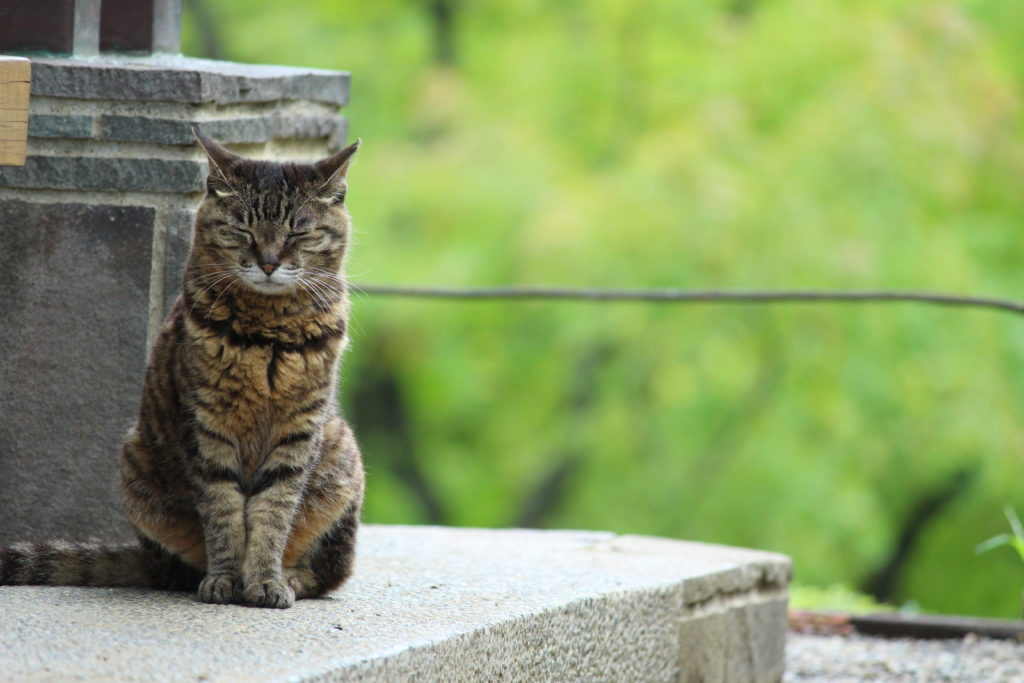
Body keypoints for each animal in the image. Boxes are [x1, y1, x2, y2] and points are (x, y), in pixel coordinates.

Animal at [0, 132, 366, 610]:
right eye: (242, 229)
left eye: (298, 231)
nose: (268, 262)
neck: (268, 335)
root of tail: (148, 560)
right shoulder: (207, 429)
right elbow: (224, 514)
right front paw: (226, 579)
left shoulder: (298, 432)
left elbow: (273, 512)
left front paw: (266, 581)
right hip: (136, 465)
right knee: (180, 567)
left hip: (342, 454)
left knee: (330, 574)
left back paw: (291, 577)